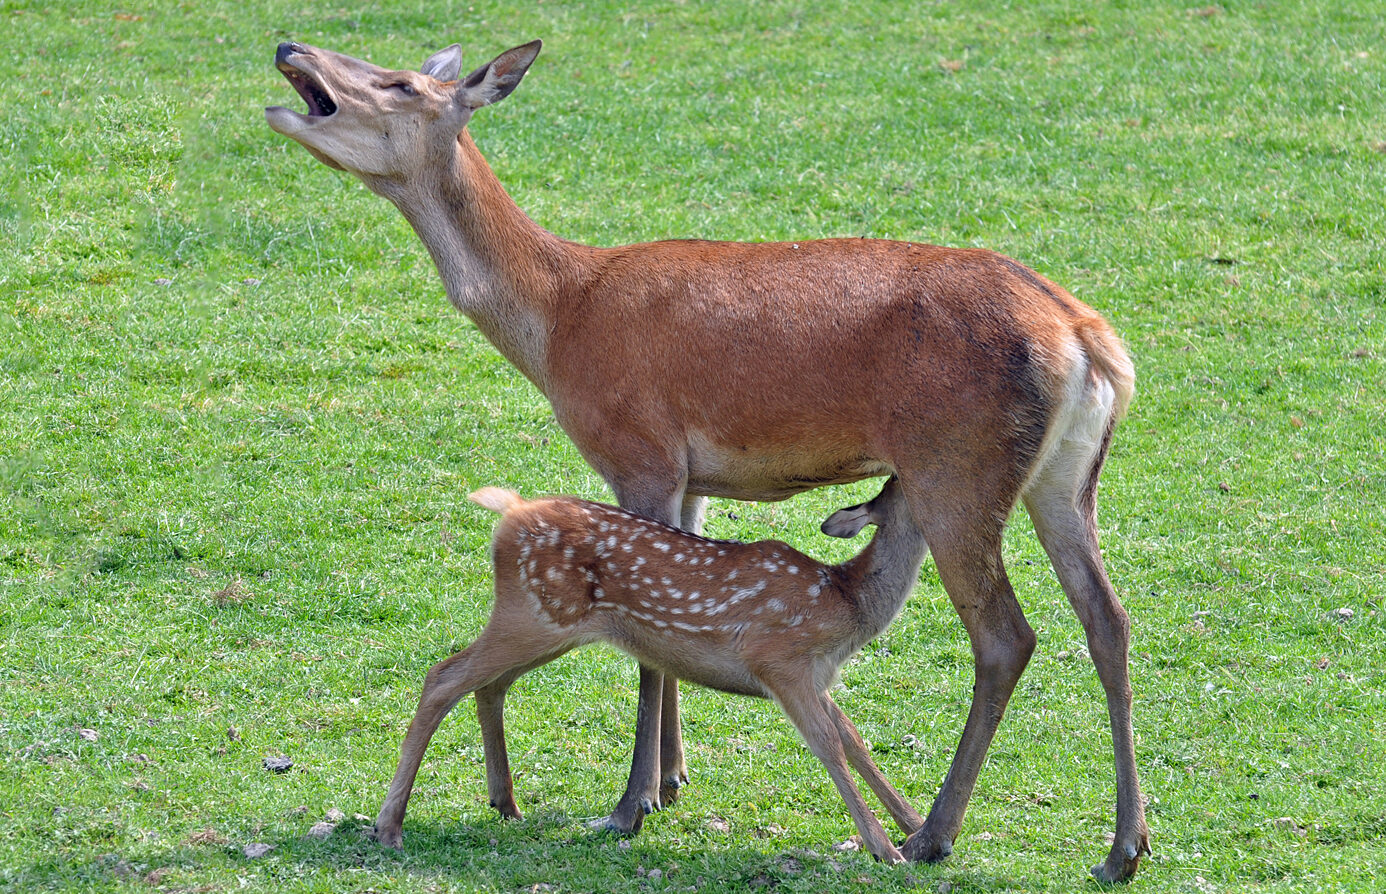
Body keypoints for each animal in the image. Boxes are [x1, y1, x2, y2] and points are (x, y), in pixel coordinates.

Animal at [374, 476, 925, 859]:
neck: (845, 603)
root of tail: (510, 512)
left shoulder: (816, 677)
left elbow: (854, 738)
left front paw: (915, 825)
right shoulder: (779, 661)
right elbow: (830, 747)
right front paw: (886, 850)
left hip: (543, 623)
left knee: (488, 686)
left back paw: (505, 803)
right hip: (533, 616)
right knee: (442, 677)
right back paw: (389, 826)